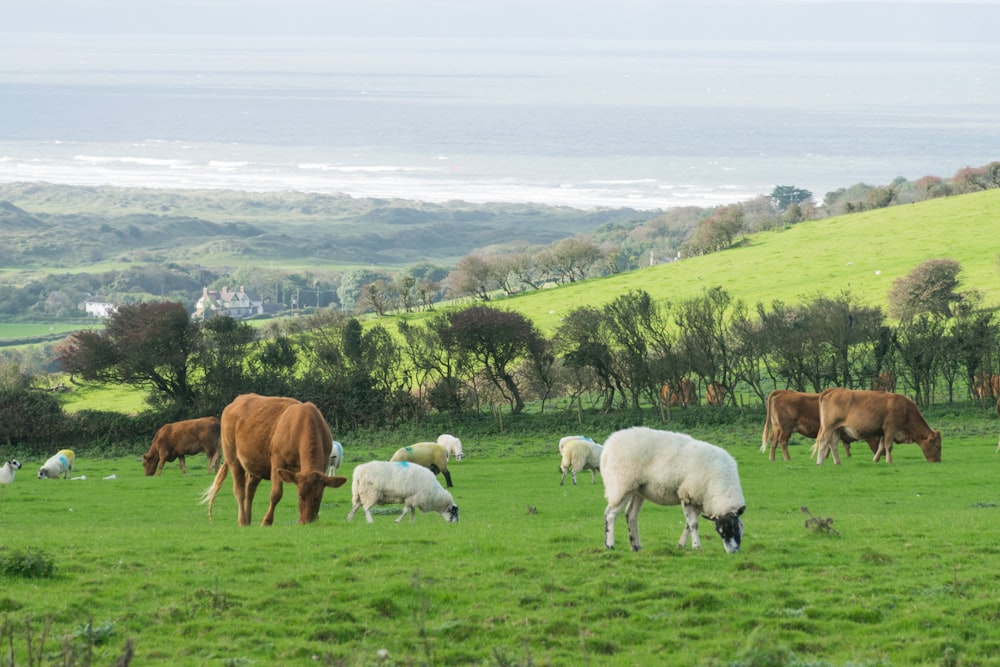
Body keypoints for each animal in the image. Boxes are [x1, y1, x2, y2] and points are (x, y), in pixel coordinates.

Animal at [199, 396, 348, 528]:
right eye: (300, 496)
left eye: (319, 496)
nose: (307, 521)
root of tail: (235, 401)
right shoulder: (277, 462)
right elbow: (276, 494)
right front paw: (266, 521)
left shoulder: (324, 464)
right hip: (232, 457)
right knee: (239, 489)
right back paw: (242, 521)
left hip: (255, 463)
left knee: (249, 489)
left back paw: (248, 519)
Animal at [600, 428, 744, 552]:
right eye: (720, 532)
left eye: (736, 529)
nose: (732, 552)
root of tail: (607, 447)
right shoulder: (687, 495)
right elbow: (693, 524)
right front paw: (696, 546)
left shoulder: (698, 500)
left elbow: (688, 524)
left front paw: (681, 544)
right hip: (621, 485)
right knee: (610, 513)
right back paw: (609, 544)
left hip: (638, 489)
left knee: (631, 515)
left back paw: (635, 546)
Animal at [808, 388, 940, 468]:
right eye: (937, 446)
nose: (938, 461)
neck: (906, 410)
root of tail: (834, 390)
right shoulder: (890, 428)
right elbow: (888, 446)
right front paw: (889, 461)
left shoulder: (883, 432)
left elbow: (881, 446)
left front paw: (876, 459)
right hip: (828, 427)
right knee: (823, 442)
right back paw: (819, 462)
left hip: (837, 429)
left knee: (833, 444)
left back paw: (838, 462)